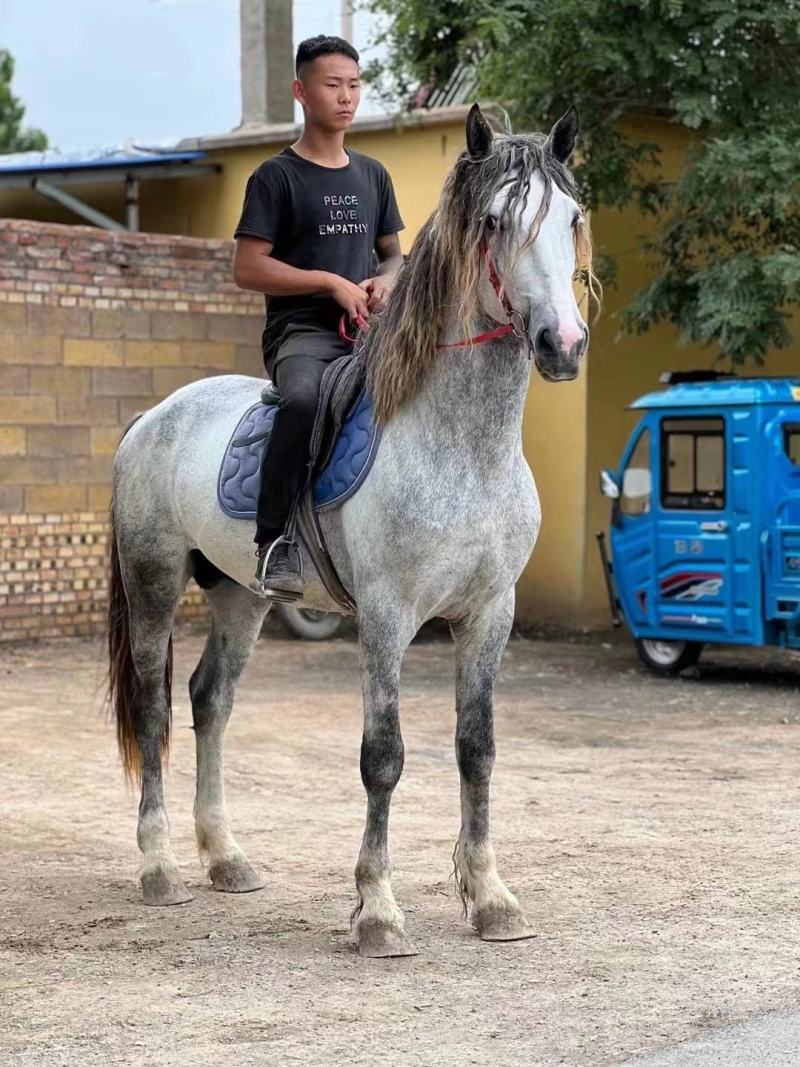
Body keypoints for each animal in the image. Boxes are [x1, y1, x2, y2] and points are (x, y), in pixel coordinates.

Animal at [106, 102, 594, 958]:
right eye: (495, 222)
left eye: (572, 217)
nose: (562, 345)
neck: (461, 445)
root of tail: (153, 416)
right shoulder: (388, 618)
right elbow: (384, 757)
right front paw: (377, 911)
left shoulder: (488, 614)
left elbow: (477, 750)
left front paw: (491, 899)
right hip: (155, 581)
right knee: (156, 709)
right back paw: (160, 868)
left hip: (241, 596)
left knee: (211, 700)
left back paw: (225, 858)